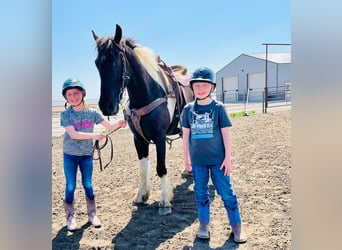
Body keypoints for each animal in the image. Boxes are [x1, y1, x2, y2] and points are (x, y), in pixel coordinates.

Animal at [92, 23, 194, 215]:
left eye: (116, 61)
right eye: (97, 63)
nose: (106, 106)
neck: (148, 93)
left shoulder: (160, 138)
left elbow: (161, 168)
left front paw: (165, 201)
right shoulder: (138, 139)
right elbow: (142, 169)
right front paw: (141, 196)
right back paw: (188, 170)